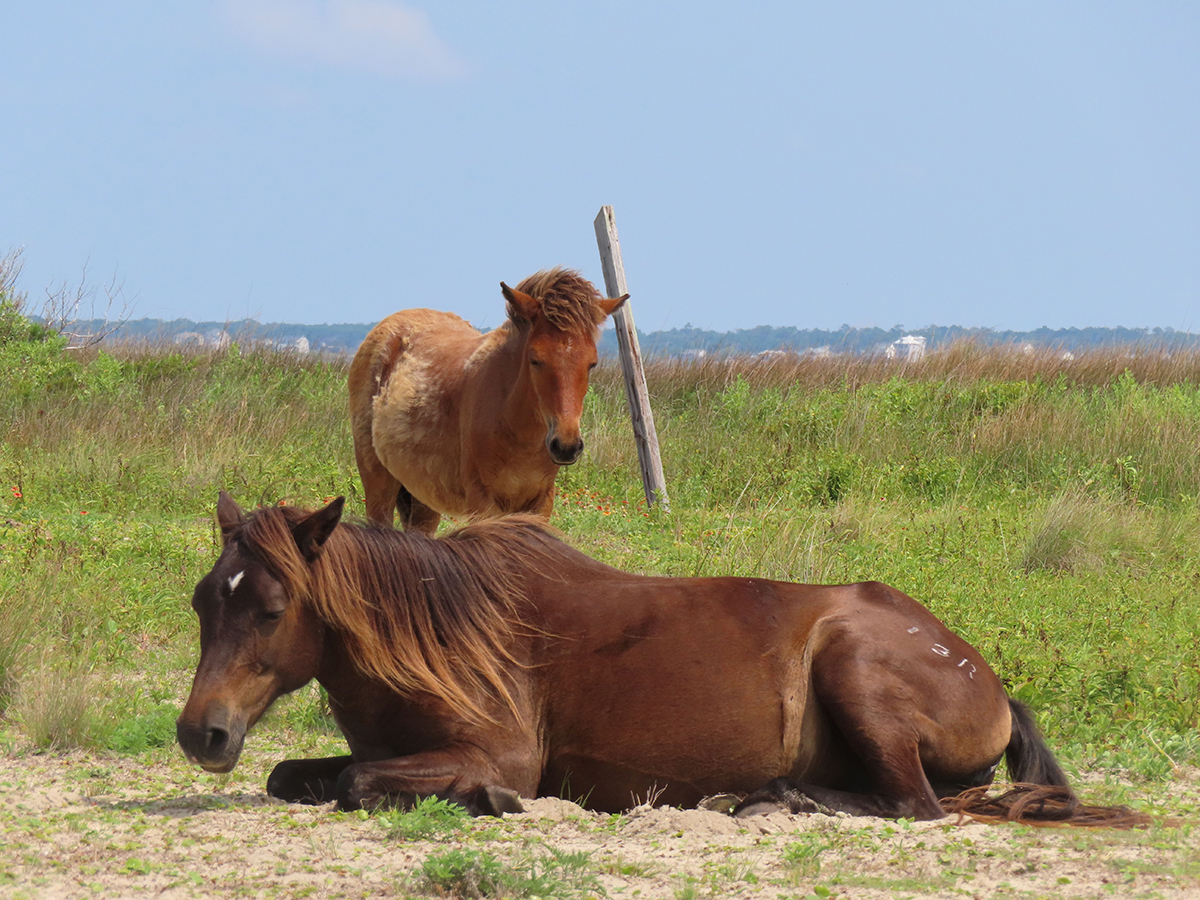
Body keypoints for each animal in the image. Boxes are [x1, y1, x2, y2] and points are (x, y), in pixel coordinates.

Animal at [176, 494, 1144, 826]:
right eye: (201, 601)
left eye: (271, 611)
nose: (201, 734)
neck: (440, 635)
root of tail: (988, 678)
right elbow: (297, 777)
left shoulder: (496, 753)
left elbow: (358, 783)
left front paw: (491, 801)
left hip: (855, 668)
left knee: (918, 806)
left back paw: (776, 797)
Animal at [348, 268, 627, 532]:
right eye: (535, 360)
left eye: (592, 364)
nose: (566, 446)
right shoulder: (483, 504)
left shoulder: (541, 504)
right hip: (379, 484)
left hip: (423, 496)